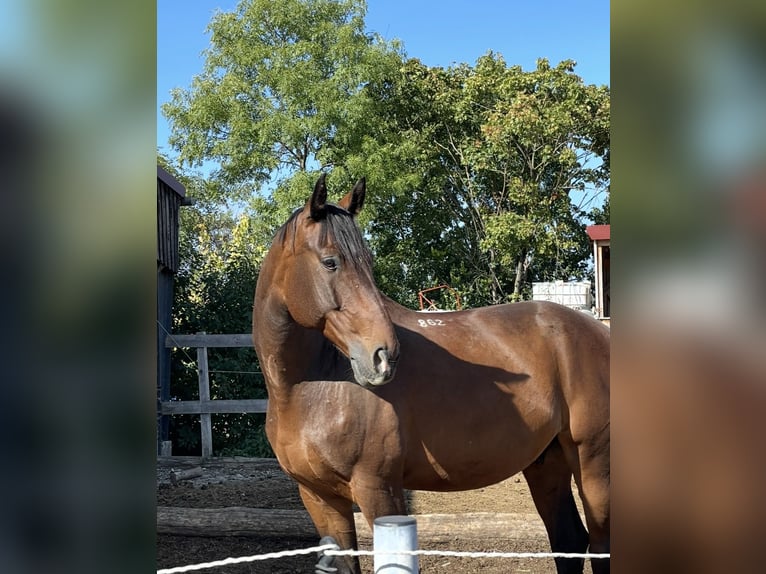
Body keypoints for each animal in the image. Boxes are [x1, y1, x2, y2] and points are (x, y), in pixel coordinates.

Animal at [252, 174, 610, 574]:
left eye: (368, 262)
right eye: (331, 262)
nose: (384, 356)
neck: (309, 386)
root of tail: (599, 332)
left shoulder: (378, 490)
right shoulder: (319, 498)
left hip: (594, 464)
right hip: (547, 461)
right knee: (569, 540)